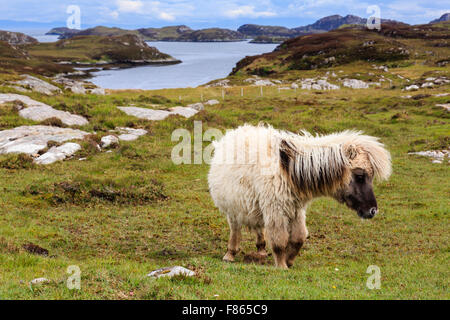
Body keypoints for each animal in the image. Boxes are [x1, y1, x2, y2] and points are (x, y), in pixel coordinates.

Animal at [209, 124, 392, 268]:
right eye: (360, 176)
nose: (372, 210)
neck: (289, 170)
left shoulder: (296, 210)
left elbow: (298, 238)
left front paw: (289, 261)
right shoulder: (276, 210)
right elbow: (279, 241)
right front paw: (282, 266)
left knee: (259, 228)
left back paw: (260, 250)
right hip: (233, 209)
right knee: (235, 229)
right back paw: (230, 254)